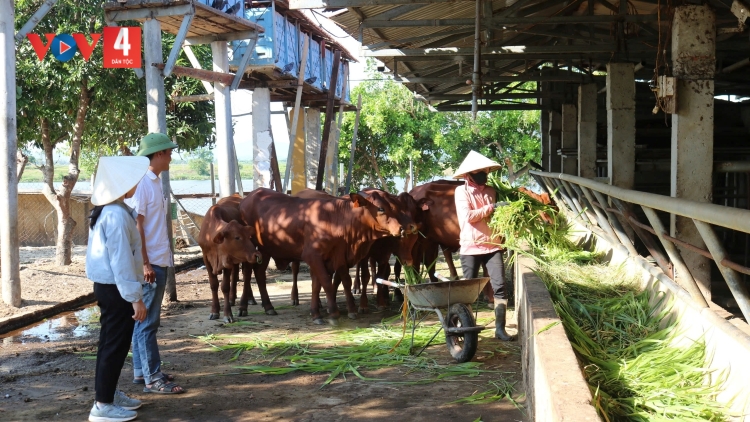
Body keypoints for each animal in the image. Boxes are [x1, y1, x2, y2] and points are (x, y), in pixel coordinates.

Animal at [198, 195, 262, 324]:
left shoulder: (226, 260)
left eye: (249, 236)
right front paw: (214, 311)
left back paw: (247, 301)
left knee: (246, 276)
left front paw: (227, 315)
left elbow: (225, 286)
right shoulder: (206, 258)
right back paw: (233, 299)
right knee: (236, 274)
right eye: (237, 237)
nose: (256, 255)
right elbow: (214, 284)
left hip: (246, 259)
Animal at [241, 187, 418, 324]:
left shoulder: (337, 256)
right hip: (251, 247)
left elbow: (335, 282)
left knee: (260, 274)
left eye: (395, 206)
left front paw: (335, 311)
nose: (404, 228)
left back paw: (268, 306)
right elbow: (325, 282)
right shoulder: (313, 256)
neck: (334, 218)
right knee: (249, 272)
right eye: (381, 208)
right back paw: (244, 307)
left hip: (265, 250)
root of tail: (251, 194)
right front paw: (332, 312)